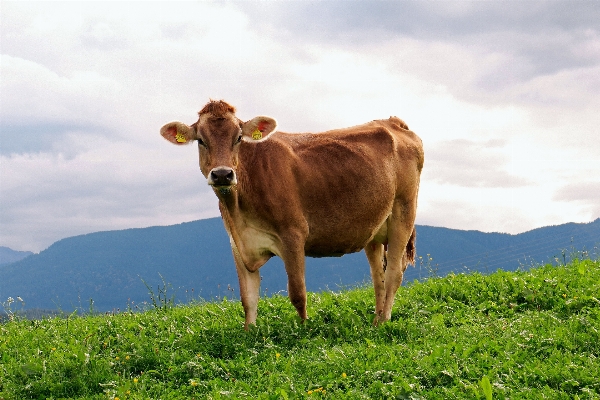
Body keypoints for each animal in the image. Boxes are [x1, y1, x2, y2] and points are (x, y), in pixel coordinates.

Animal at [159, 100, 422, 328]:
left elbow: (297, 292)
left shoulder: (293, 234)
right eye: (201, 140)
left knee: (394, 273)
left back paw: (383, 322)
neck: (238, 211)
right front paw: (249, 333)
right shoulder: (237, 243)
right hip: (374, 228)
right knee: (378, 277)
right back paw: (376, 319)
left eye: (239, 138)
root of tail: (393, 122)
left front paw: (304, 330)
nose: (222, 174)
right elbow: (248, 298)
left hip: (404, 211)